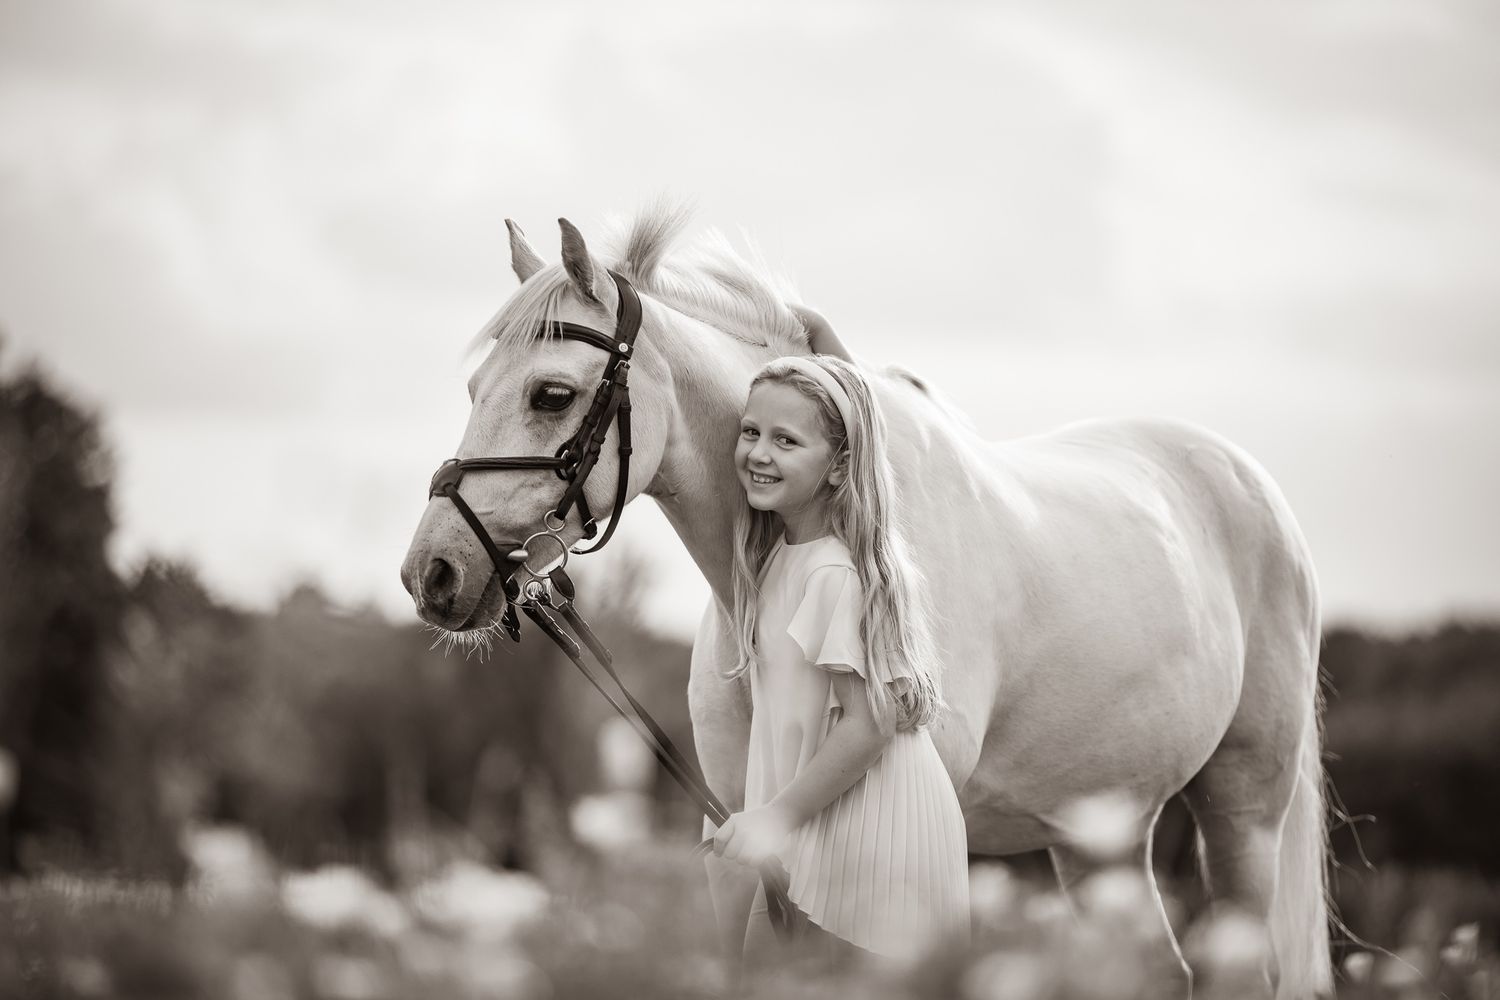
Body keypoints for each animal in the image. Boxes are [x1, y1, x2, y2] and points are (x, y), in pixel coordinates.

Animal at [399, 207, 1332, 999]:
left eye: (550, 394)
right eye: (477, 387)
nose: (432, 573)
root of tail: (1249, 482)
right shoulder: (736, 835)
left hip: (1243, 812)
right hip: (1100, 833)